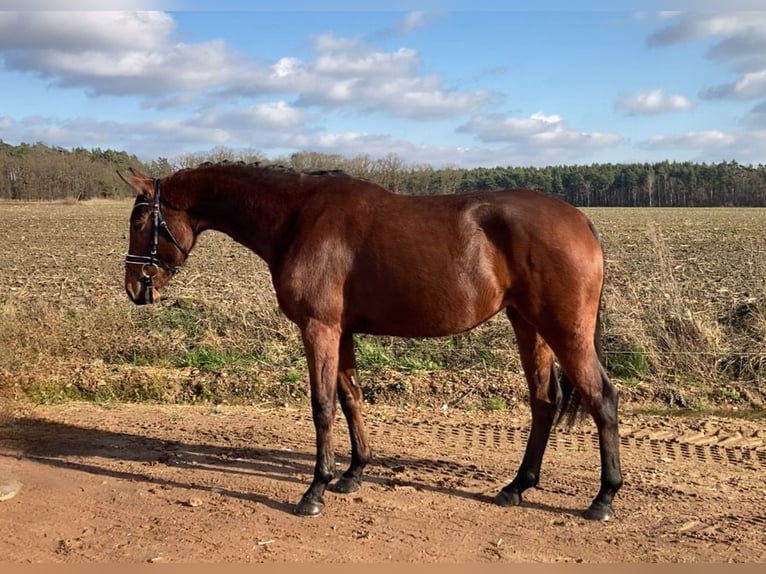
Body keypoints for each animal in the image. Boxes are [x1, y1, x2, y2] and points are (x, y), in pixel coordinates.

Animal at [120, 161, 624, 520]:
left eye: (141, 223)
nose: (133, 288)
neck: (297, 217)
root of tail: (580, 220)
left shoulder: (319, 328)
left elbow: (322, 405)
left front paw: (315, 489)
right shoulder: (340, 332)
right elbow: (350, 398)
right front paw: (352, 473)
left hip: (565, 331)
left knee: (601, 397)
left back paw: (603, 498)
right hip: (528, 325)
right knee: (544, 400)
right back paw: (517, 486)